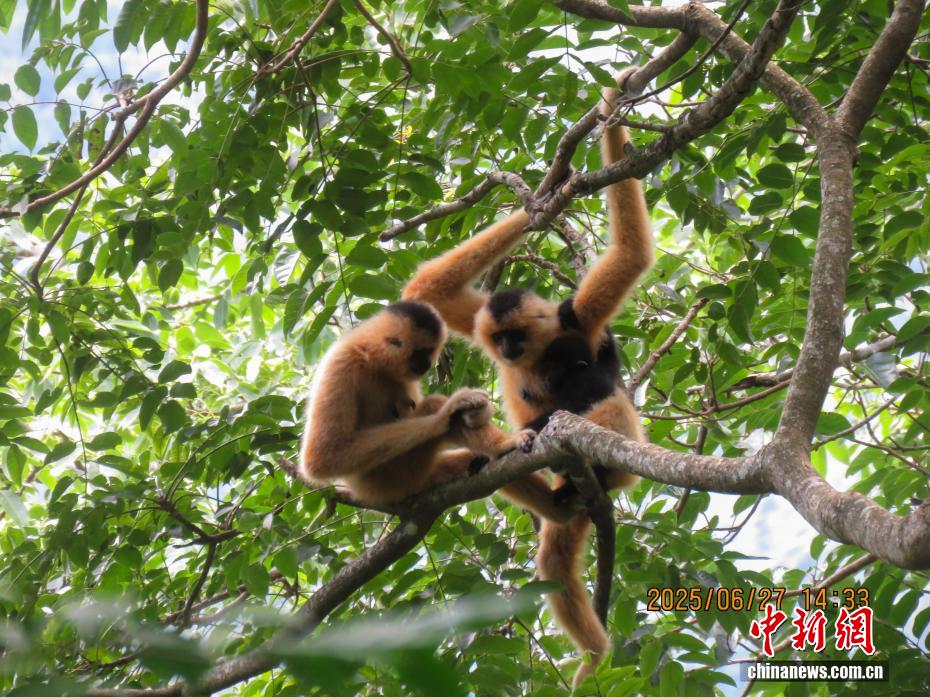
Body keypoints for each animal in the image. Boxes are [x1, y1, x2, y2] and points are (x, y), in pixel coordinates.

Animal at [300, 300, 535, 504]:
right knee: (435, 406)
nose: (427, 364)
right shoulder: (340, 364)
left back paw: (503, 447)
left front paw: (482, 411)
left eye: (429, 351)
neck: (372, 359)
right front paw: (444, 415)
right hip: (392, 479)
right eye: (420, 353)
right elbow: (323, 457)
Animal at [402, 72, 652, 687]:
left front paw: (610, 112)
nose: (510, 350)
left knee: (605, 410)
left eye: (518, 335)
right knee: (554, 555)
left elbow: (630, 256)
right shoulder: (482, 319)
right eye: (502, 340)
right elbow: (426, 291)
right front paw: (545, 198)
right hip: (571, 495)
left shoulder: (579, 320)